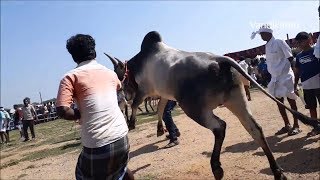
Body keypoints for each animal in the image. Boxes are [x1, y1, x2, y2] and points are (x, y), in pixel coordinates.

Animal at [105, 31, 318, 180]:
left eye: (118, 72)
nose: (120, 92)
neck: (139, 62)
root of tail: (219, 59)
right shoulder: (161, 94)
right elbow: (159, 109)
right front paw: (159, 129)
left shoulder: (144, 90)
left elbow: (136, 104)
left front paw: (132, 123)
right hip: (236, 100)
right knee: (255, 128)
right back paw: (277, 171)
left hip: (195, 109)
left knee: (220, 126)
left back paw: (217, 167)